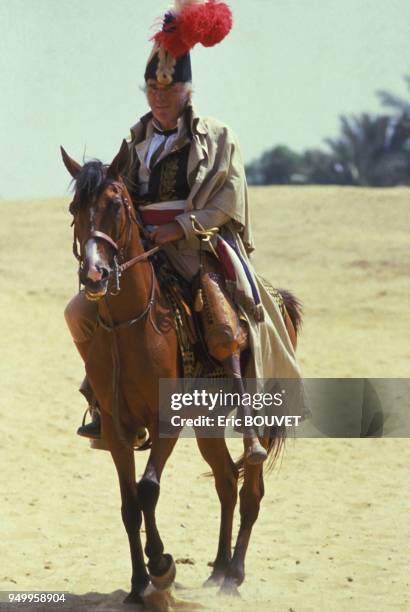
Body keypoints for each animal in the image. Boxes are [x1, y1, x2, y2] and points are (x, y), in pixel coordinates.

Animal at [60, 140, 302, 604]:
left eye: (115, 205)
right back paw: (218, 571)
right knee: (226, 482)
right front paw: (138, 584)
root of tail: (281, 301)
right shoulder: (116, 428)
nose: (95, 275)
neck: (130, 324)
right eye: (74, 208)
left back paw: (235, 575)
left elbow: (148, 490)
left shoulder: (166, 420)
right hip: (207, 423)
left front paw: (162, 566)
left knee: (251, 489)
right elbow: (129, 504)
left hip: (261, 411)